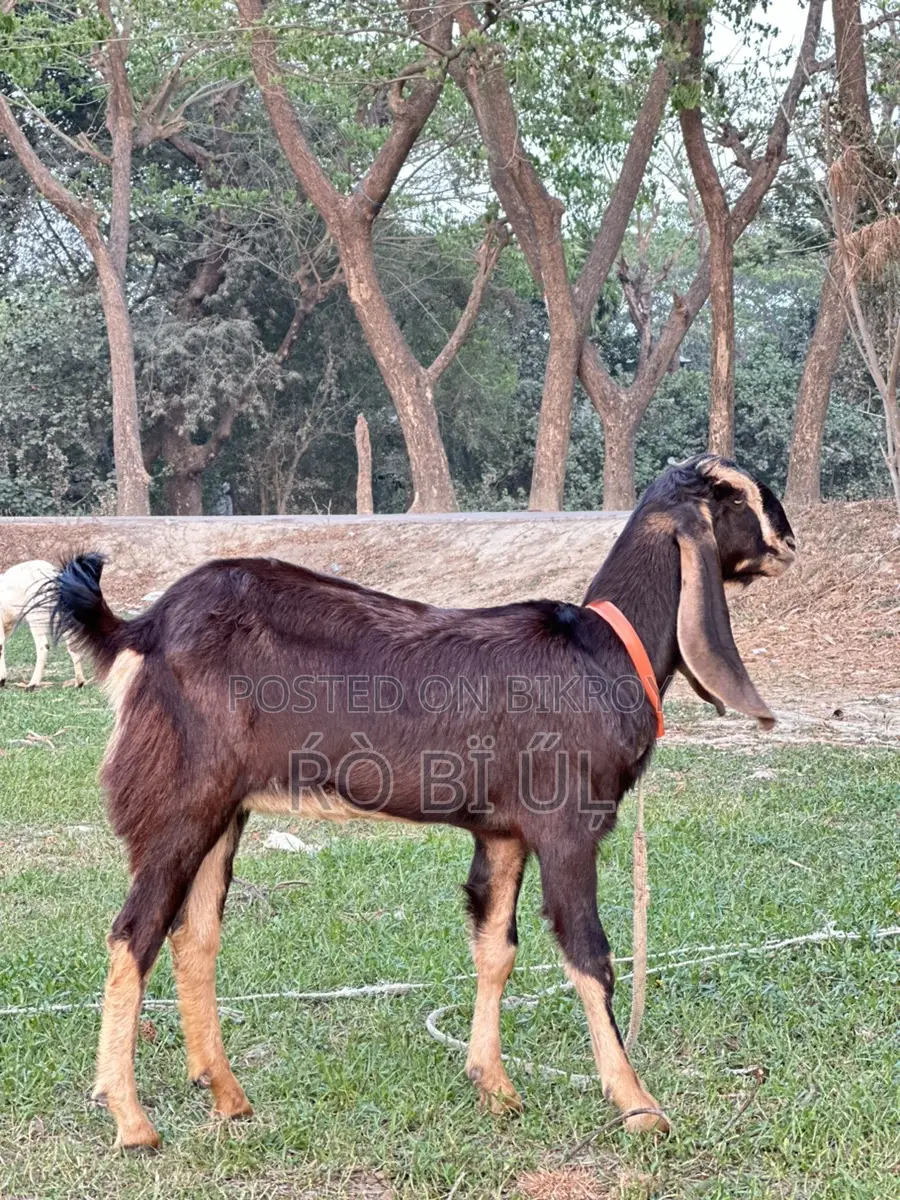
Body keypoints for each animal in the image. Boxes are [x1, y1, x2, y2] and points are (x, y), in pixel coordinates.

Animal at [0, 559, 85, 689]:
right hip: (64, 616)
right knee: (73, 643)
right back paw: (79, 682)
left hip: (36, 616)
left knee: (43, 646)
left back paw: (32, 685)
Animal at [51, 454, 795, 1150]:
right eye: (737, 497)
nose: (789, 541)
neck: (606, 649)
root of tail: (146, 626)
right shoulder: (565, 826)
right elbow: (590, 955)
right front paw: (637, 1105)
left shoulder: (502, 832)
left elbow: (497, 948)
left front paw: (494, 1086)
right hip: (182, 799)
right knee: (134, 933)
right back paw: (131, 1119)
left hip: (224, 809)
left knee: (194, 934)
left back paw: (228, 1096)